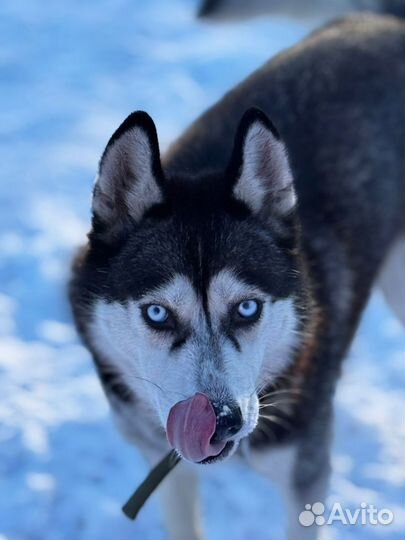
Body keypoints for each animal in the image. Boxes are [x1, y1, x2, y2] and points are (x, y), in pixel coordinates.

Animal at [70, 14, 404, 540]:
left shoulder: (304, 478)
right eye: (158, 313)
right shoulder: (167, 468)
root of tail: (382, 20)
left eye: (247, 307)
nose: (222, 421)